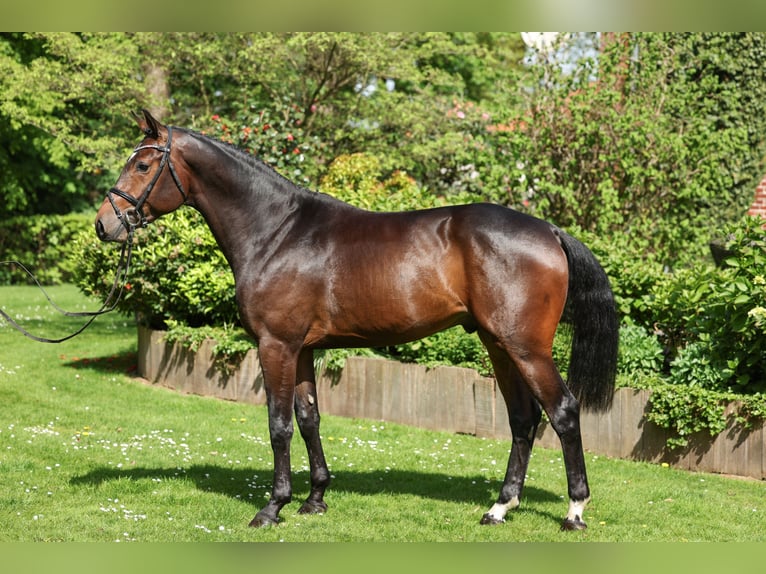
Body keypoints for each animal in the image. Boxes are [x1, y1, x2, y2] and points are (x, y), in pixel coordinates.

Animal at [96, 110, 620, 532]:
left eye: (143, 164)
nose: (105, 224)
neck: (277, 232)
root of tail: (549, 230)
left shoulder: (276, 345)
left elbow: (279, 425)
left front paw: (272, 507)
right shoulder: (302, 349)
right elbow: (309, 419)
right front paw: (315, 500)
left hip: (526, 347)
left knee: (563, 412)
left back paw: (574, 511)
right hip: (499, 345)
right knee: (523, 420)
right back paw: (499, 508)